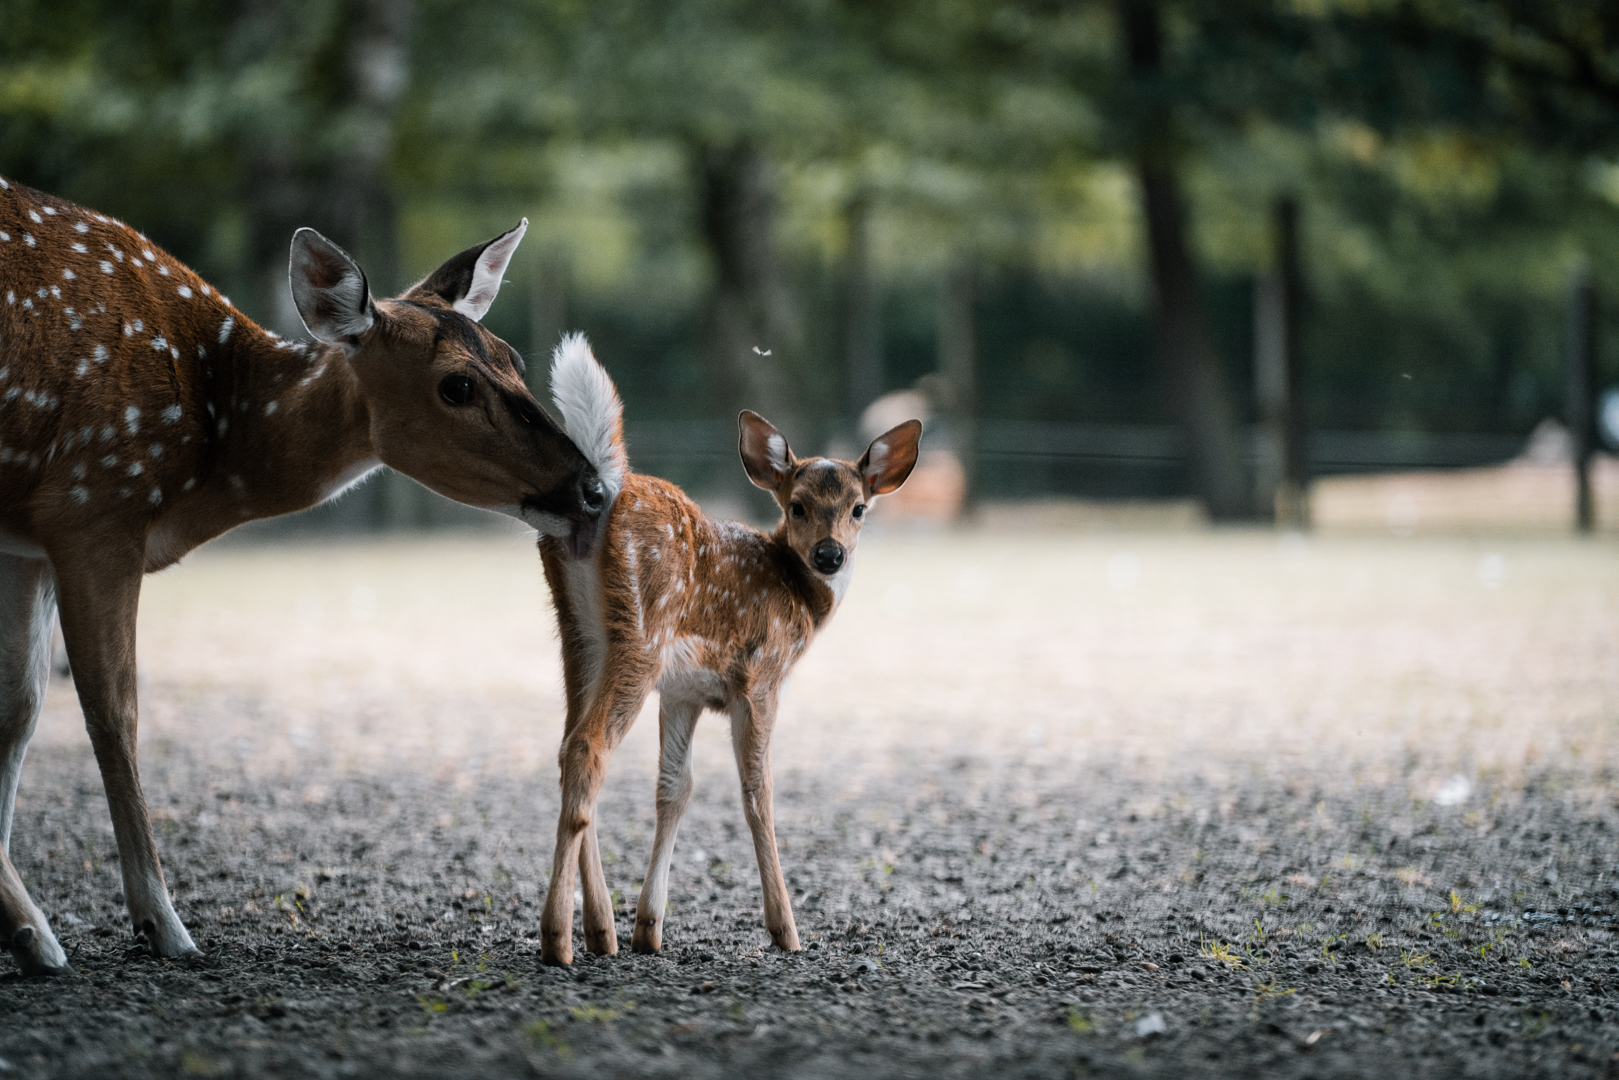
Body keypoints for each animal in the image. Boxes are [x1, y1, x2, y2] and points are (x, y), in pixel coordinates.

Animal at [0, 176, 609, 976]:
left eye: (513, 357)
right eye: (455, 386)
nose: (593, 489)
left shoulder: (29, 540)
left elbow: (19, 712)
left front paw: (26, 932)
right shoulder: (92, 504)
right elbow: (113, 710)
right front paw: (160, 926)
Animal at [534, 335, 921, 965]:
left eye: (859, 508)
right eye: (797, 505)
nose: (830, 554)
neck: (797, 600)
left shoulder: (684, 692)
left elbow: (675, 788)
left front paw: (648, 927)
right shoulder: (761, 679)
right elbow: (758, 792)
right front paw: (786, 929)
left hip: (578, 636)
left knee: (569, 747)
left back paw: (601, 930)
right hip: (641, 636)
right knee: (589, 749)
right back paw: (557, 939)